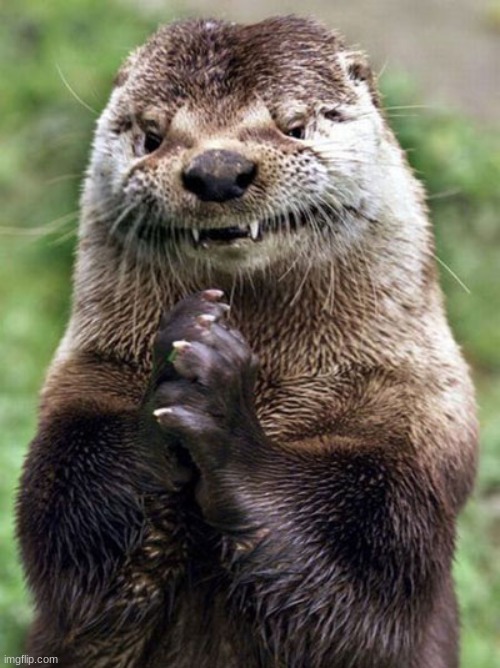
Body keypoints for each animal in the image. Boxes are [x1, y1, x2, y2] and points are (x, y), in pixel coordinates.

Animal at [17, 15, 477, 668]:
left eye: (294, 125)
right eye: (152, 135)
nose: (217, 170)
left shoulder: (416, 425)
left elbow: (367, 574)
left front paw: (227, 420)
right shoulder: (82, 388)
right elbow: (71, 530)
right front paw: (178, 356)